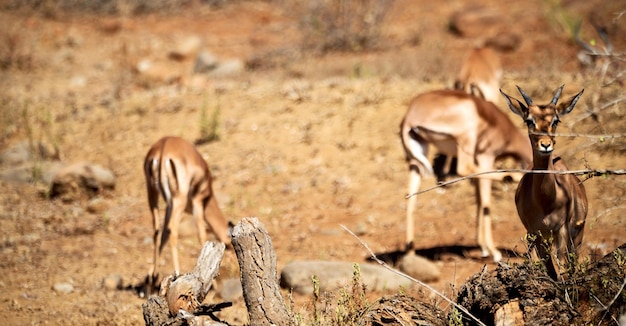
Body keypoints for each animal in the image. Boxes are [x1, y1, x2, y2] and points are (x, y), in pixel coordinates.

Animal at [143, 136, 230, 290]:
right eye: (230, 245)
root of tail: (162, 149)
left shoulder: (169, 206)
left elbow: (163, 236)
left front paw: (150, 276)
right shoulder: (197, 202)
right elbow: (202, 235)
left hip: (153, 195)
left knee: (157, 231)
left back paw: (153, 279)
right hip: (179, 200)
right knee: (172, 231)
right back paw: (176, 274)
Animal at [402, 89, 528, 262]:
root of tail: (410, 115)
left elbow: (479, 200)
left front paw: (483, 247)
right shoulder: (485, 158)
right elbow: (486, 201)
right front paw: (493, 252)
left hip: (417, 159)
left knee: (410, 198)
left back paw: (411, 254)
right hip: (464, 145)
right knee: (465, 169)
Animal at [498, 85, 584, 278]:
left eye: (556, 120)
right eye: (529, 120)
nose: (545, 145)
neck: (546, 200)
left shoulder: (562, 230)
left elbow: (563, 268)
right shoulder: (537, 233)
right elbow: (550, 269)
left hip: (576, 237)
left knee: (573, 263)